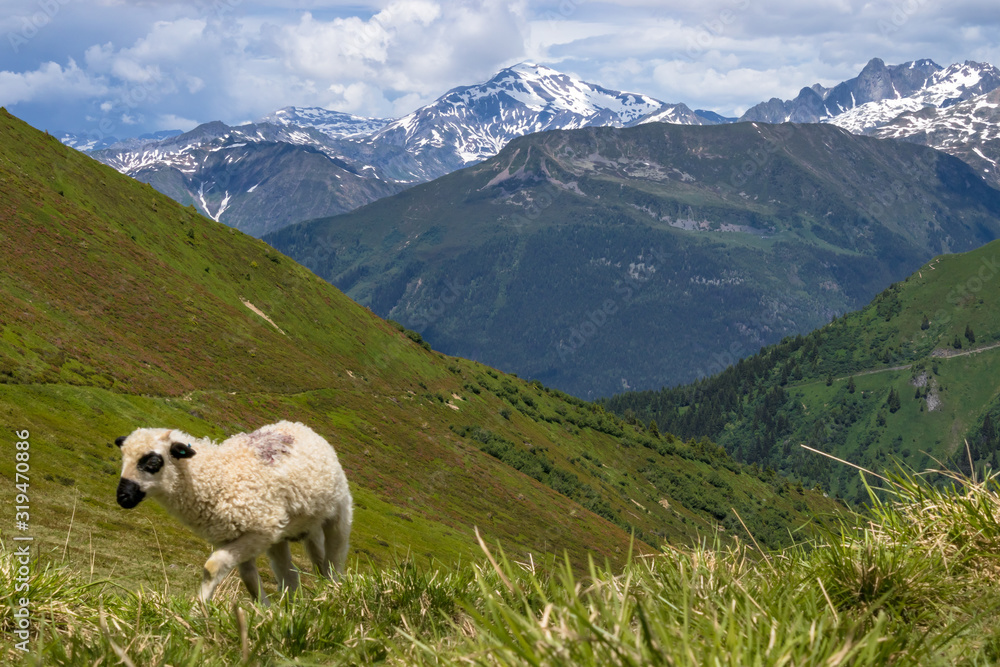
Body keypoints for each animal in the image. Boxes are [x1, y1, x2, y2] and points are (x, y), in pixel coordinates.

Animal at [114, 420, 352, 605]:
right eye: (123, 457)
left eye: (153, 461)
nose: (122, 497)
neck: (219, 477)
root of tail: (298, 425)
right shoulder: (232, 535)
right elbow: (247, 577)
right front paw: (265, 611)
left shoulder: (260, 532)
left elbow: (213, 566)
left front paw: (197, 610)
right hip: (290, 529)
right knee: (294, 570)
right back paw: (295, 605)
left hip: (339, 511)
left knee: (334, 558)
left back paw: (333, 591)